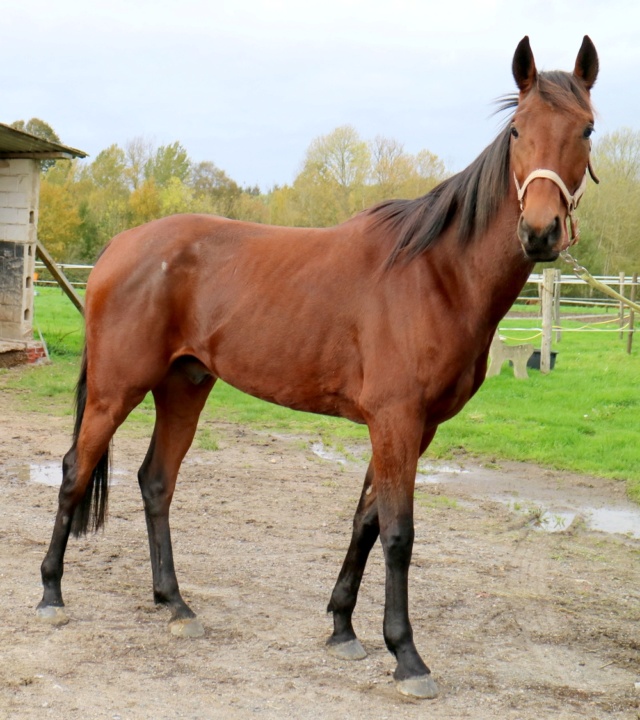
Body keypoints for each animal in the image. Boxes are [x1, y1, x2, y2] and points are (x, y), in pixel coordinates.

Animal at [37, 35, 600, 696]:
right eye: (516, 131)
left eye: (587, 130)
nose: (540, 232)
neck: (437, 275)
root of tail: (120, 247)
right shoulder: (396, 421)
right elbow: (399, 533)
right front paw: (407, 656)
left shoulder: (414, 428)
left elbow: (366, 522)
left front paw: (343, 628)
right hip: (116, 389)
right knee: (75, 470)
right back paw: (51, 594)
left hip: (185, 386)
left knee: (156, 481)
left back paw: (174, 604)